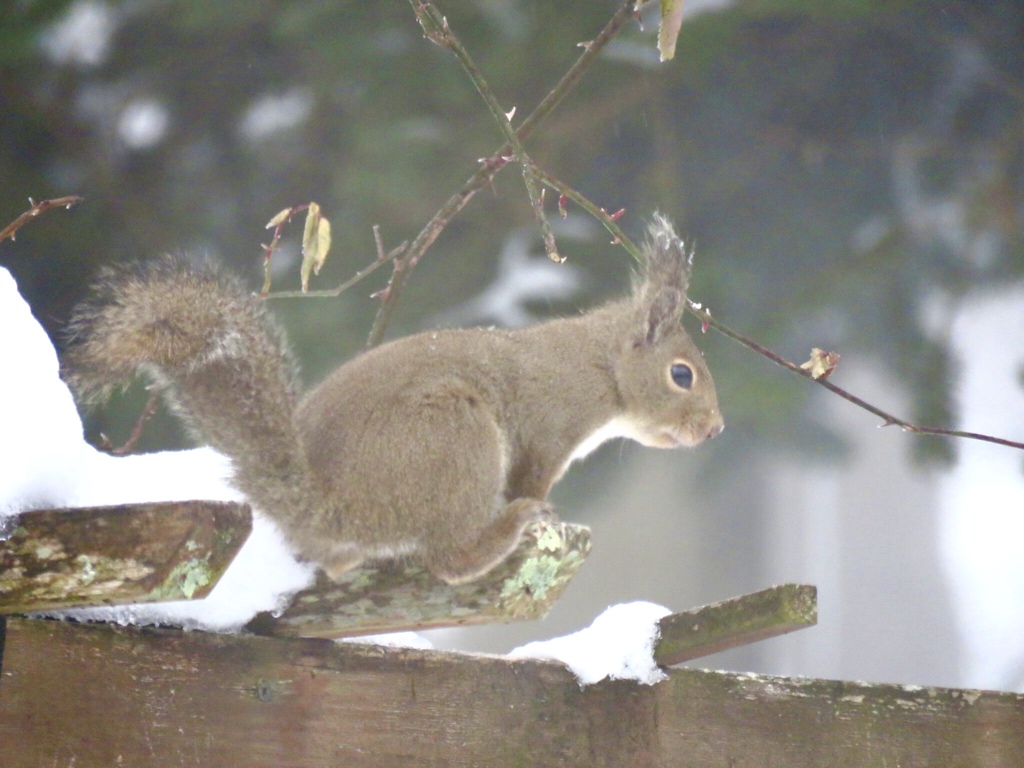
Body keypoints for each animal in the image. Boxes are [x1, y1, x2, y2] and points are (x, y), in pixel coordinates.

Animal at [64, 219, 724, 585]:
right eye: (681, 375)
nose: (715, 429)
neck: (598, 365)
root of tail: (325, 505)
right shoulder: (547, 430)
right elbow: (532, 477)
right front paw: (538, 511)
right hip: (455, 437)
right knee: (449, 559)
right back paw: (509, 526)